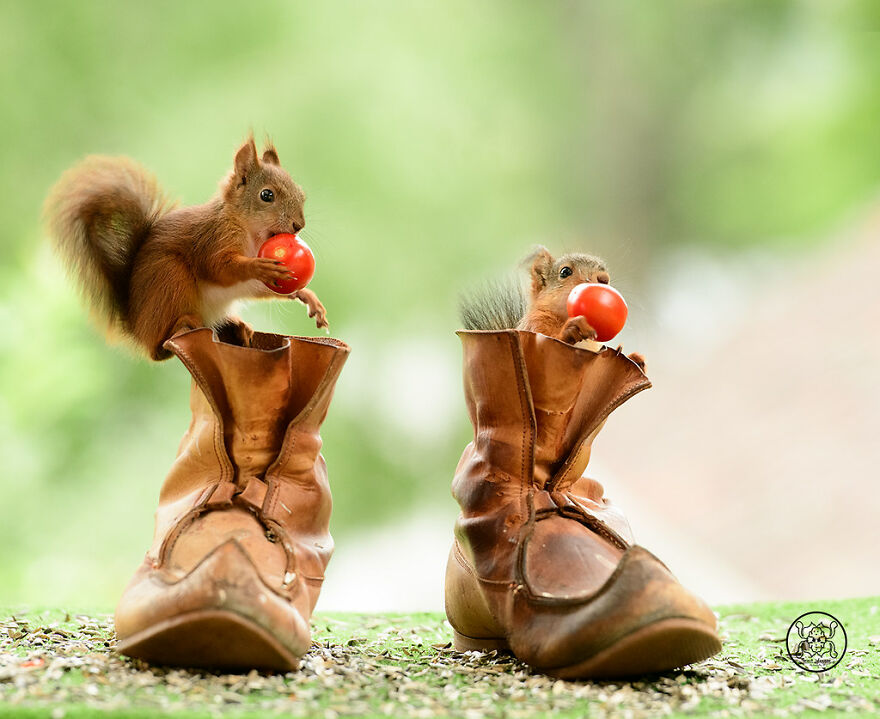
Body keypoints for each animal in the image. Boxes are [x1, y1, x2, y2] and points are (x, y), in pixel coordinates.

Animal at [44, 137, 328, 361]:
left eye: (301, 194)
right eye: (266, 195)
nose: (298, 225)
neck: (250, 233)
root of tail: (136, 325)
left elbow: (258, 287)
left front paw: (307, 296)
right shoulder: (213, 240)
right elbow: (219, 268)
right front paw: (258, 266)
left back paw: (238, 326)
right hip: (170, 276)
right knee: (158, 348)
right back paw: (182, 324)